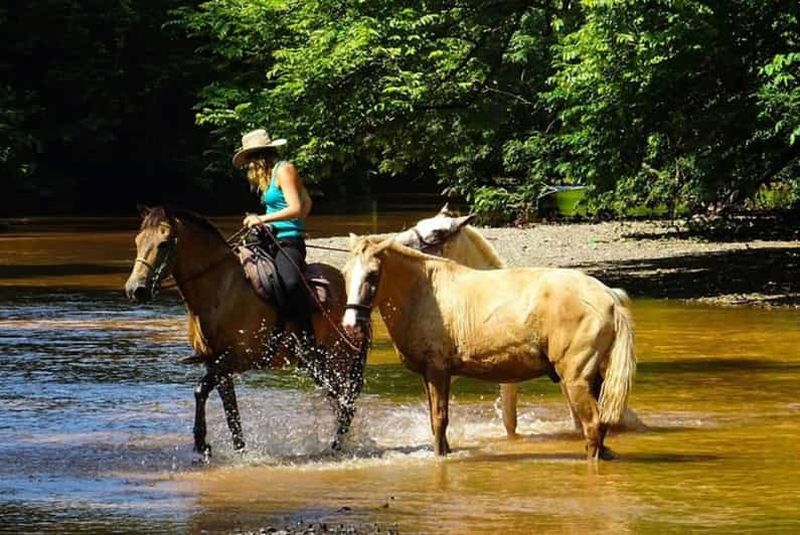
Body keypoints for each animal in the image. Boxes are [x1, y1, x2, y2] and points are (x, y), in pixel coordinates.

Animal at [124, 206, 368, 459]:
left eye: (163, 243)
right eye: (138, 240)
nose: (135, 290)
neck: (220, 290)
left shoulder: (234, 360)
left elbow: (200, 390)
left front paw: (202, 443)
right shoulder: (216, 365)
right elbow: (231, 412)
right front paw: (239, 449)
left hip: (339, 358)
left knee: (346, 402)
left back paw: (336, 446)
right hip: (317, 365)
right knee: (338, 400)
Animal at [342, 237, 636, 460]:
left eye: (373, 274)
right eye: (345, 274)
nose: (350, 323)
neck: (425, 292)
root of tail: (609, 297)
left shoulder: (437, 371)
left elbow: (439, 419)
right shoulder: (429, 375)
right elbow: (435, 421)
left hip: (575, 380)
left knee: (593, 425)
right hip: (595, 379)